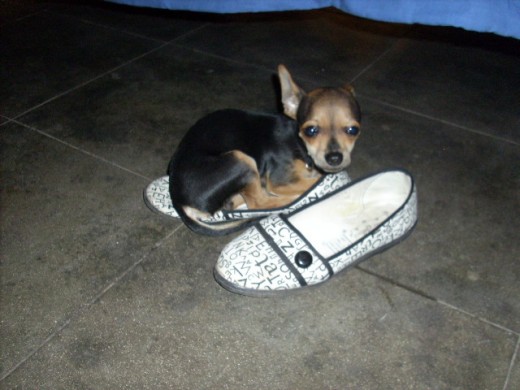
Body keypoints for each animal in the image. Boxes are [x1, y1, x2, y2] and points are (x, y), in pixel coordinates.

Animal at [168, 65, 362, 235]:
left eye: (353, 130)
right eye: (311, 130)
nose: (335, 157)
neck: (299, 144)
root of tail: (177, 200)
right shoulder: (280, 181)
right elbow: (314, 182)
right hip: (240, 160)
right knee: (259, 203)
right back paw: (291, 201)